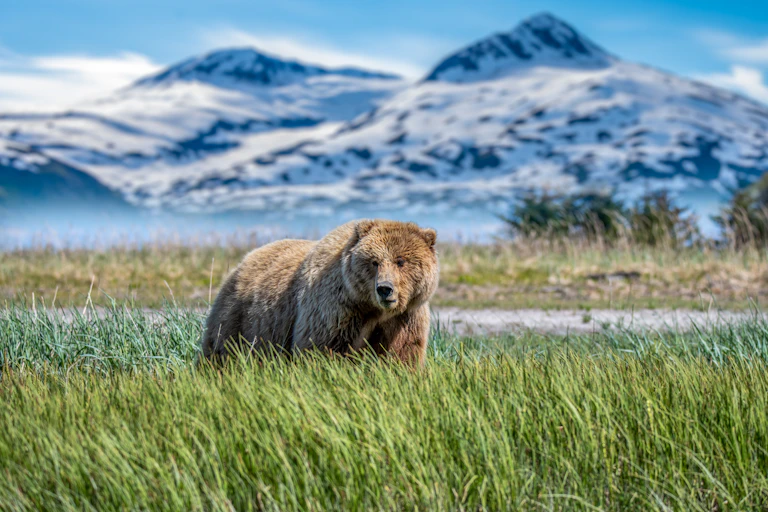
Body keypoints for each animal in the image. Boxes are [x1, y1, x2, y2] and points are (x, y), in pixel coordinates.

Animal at [200, 219, 439, 366]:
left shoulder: (405, 317)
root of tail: (244, 260)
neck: (371, 309)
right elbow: (321, 349)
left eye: (401, 261)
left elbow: (401, 353)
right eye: (374, 261)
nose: (384, 289)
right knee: (220, 349)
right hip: (241, 319)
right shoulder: (335, 309)